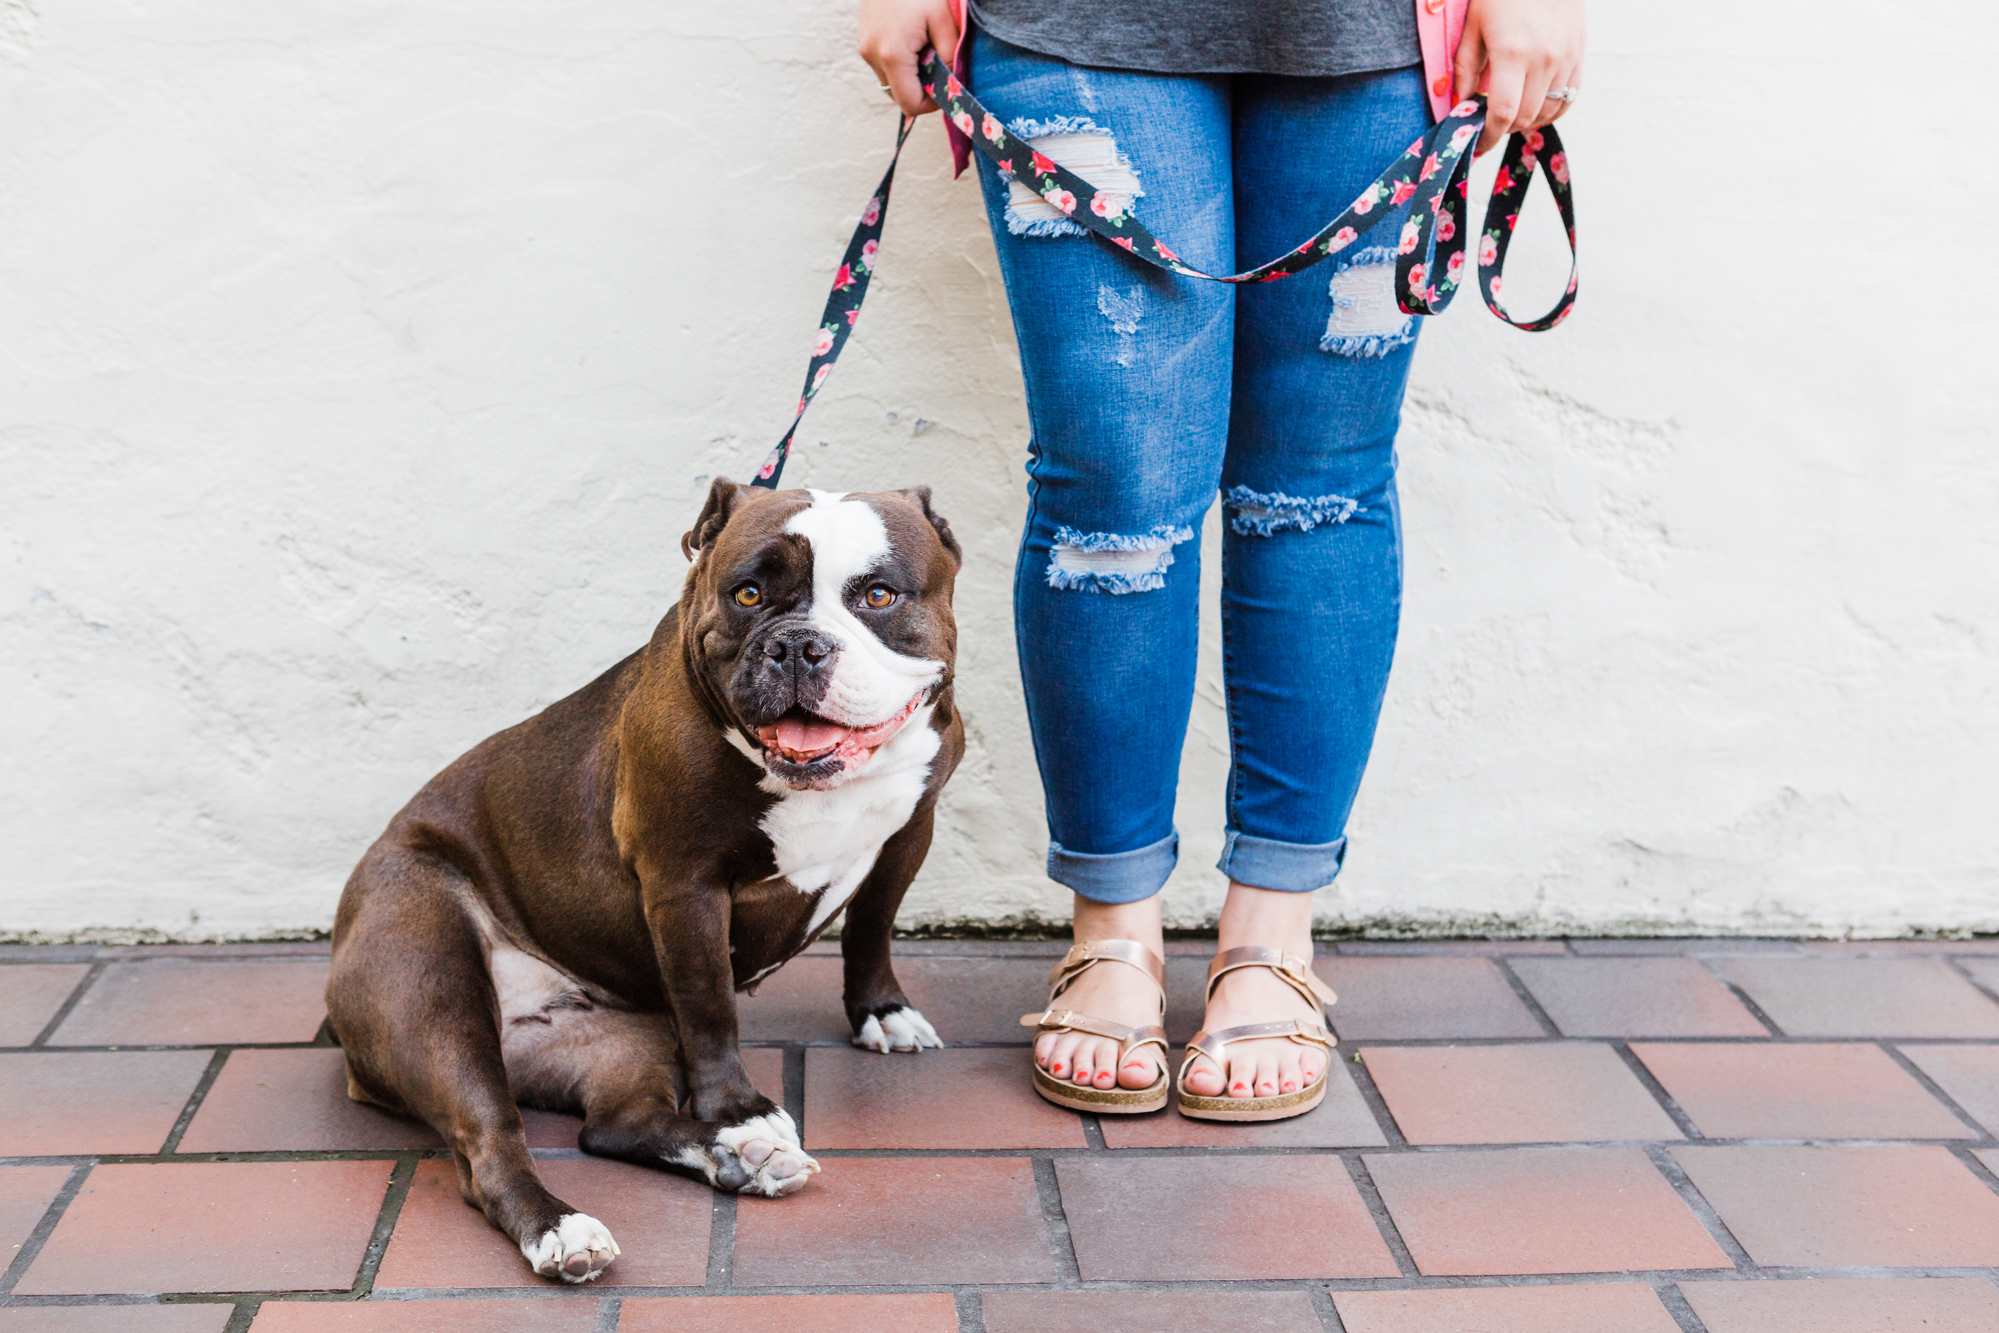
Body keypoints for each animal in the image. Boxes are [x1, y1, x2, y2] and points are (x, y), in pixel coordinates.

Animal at [327, 479, 967, 1279]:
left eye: (878, 595)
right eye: (748, 594)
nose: (795, 644)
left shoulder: (910, 829)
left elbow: (872, 927)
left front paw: (880, 1011)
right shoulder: (684, 885)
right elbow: (710, 1004)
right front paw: (739, 1106)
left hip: (624, 1040)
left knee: (613, 1125)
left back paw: (739, 1157)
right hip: (431, 993)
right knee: (488, 1150)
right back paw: (566, 1226)